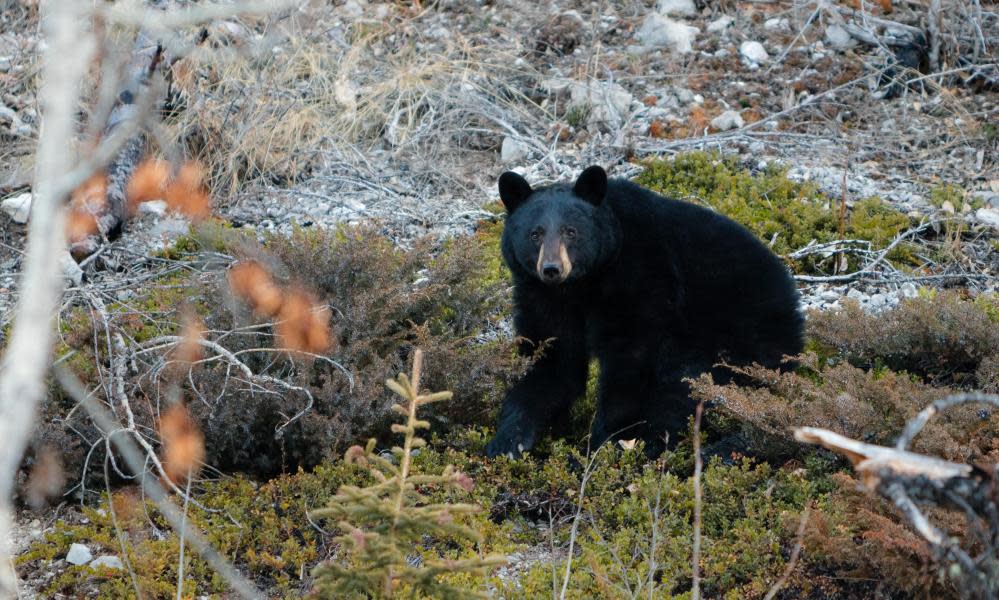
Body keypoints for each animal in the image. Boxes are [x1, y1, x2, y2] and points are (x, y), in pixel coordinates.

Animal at [484, 163, 804, 454]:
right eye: (535, 234)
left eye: (571, 231)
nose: (552, 268)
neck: (582, 285)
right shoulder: (543, 297)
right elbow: (551, 358)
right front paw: (508, 440)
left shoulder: (641, 277)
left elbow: (630, 360)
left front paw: (606, 441)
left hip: (736, 339)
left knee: (686, 385)